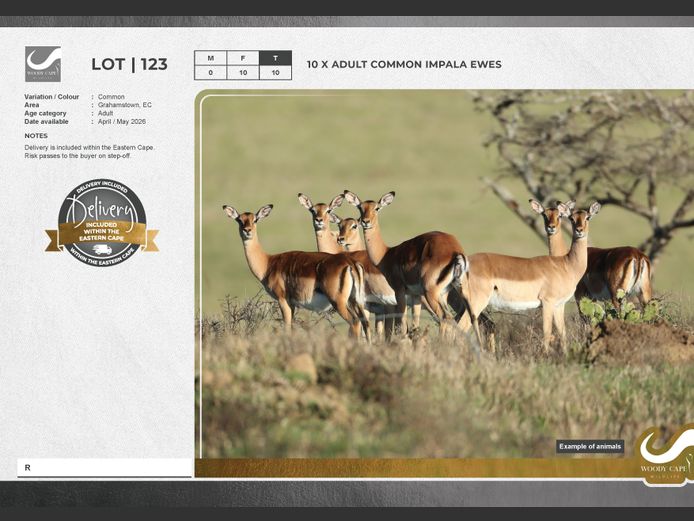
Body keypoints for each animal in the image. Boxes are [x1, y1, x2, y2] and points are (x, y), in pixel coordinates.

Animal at [222, 204, 371, 341]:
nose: (247, 230)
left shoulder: (283, 300)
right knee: (365, 323)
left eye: (255, 219)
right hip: (355, 302)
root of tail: (350, 263)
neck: (268, 263)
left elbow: (287, 328)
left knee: (355, 321)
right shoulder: (292, 304)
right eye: (239, 220)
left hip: (338, 302)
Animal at [343, 190, 468, 337]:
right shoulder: (415, 295)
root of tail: (455, 251)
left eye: (377, 208)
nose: (365, 221)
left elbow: (401, 327)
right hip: (444, 292)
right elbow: (414, 327)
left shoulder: (399, 291)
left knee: (445, 318)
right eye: (360, 207)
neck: (387, 254)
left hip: (431, 293)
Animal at [458, 202, 601, 354]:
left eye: (588, 217)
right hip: (476, 303)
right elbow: (547, 333)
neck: (565, 264)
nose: (579, 230)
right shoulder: (548, 303)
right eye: (572, 219)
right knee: (460, 328)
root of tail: (465, 262)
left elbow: (562, 334)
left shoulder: (559, 305)